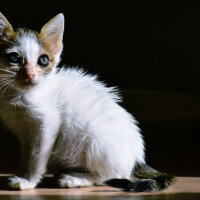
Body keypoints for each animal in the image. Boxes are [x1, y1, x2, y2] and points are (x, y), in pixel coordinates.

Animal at [0, 12, 174, 191]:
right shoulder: (24, 132)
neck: (20, 95)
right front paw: (23, 173)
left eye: (43, 60)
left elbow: (36, 156)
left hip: (96, 141)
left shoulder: (47, 124)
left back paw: (75, 178)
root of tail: (136, 157)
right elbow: (27, 154)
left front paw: (29, 181)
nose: (30, 74)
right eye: (14, 58)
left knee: (111, 176)